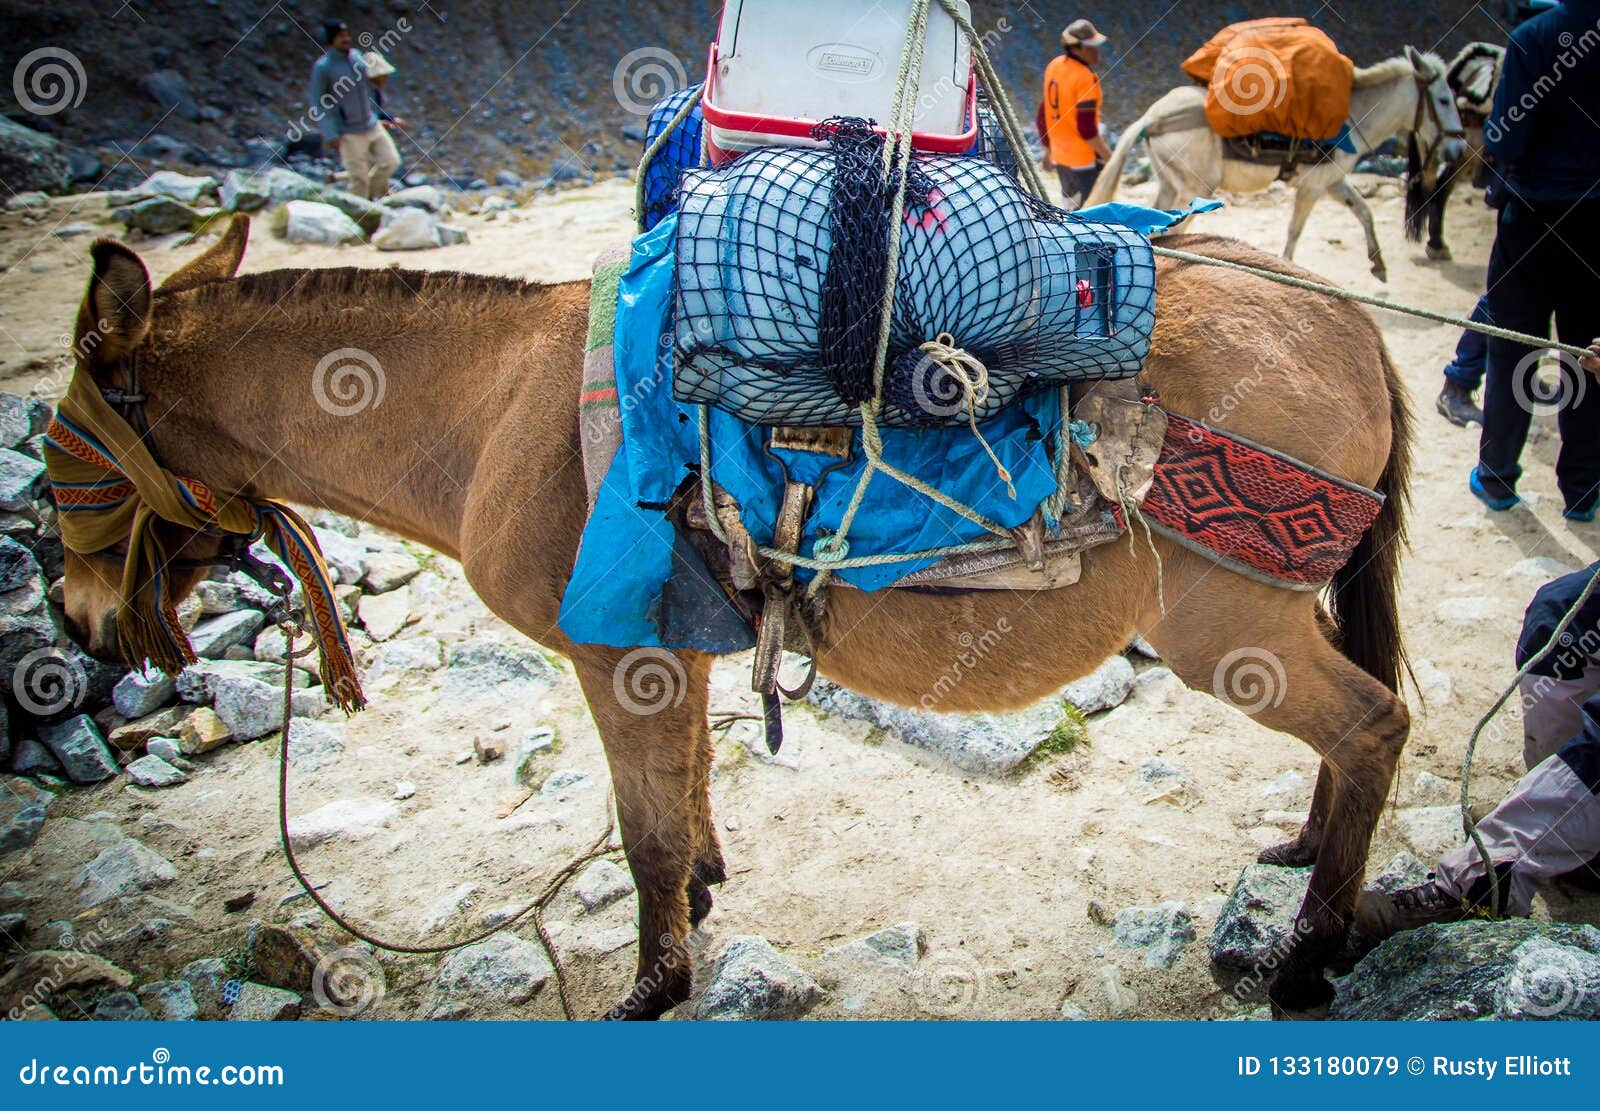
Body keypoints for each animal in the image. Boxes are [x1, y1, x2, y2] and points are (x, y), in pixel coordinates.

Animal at [55, 215, 1412, 1020]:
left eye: (60, 444)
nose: (77, 628)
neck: (492, 412)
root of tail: (1345, 315)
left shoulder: (618, 655)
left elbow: (641, 832)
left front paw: (653, 986)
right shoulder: (681, 649)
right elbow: (688, 789)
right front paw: (704, 899)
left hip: (1227, 627)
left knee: (1373, 725)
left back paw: (1308, 956)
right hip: (1274, 617)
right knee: (1356, 727)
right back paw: (1303, 857)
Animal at [1088, 47, 1466, 283]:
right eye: (1445, 100)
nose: (1459, 147)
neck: (1351, 116)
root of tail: (1152, 117)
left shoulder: (1332, 181)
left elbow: (1363, 210)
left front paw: (1378, 265)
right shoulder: (1312, 187)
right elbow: (1294, 232)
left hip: (1171, 184)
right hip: (1196, 186)